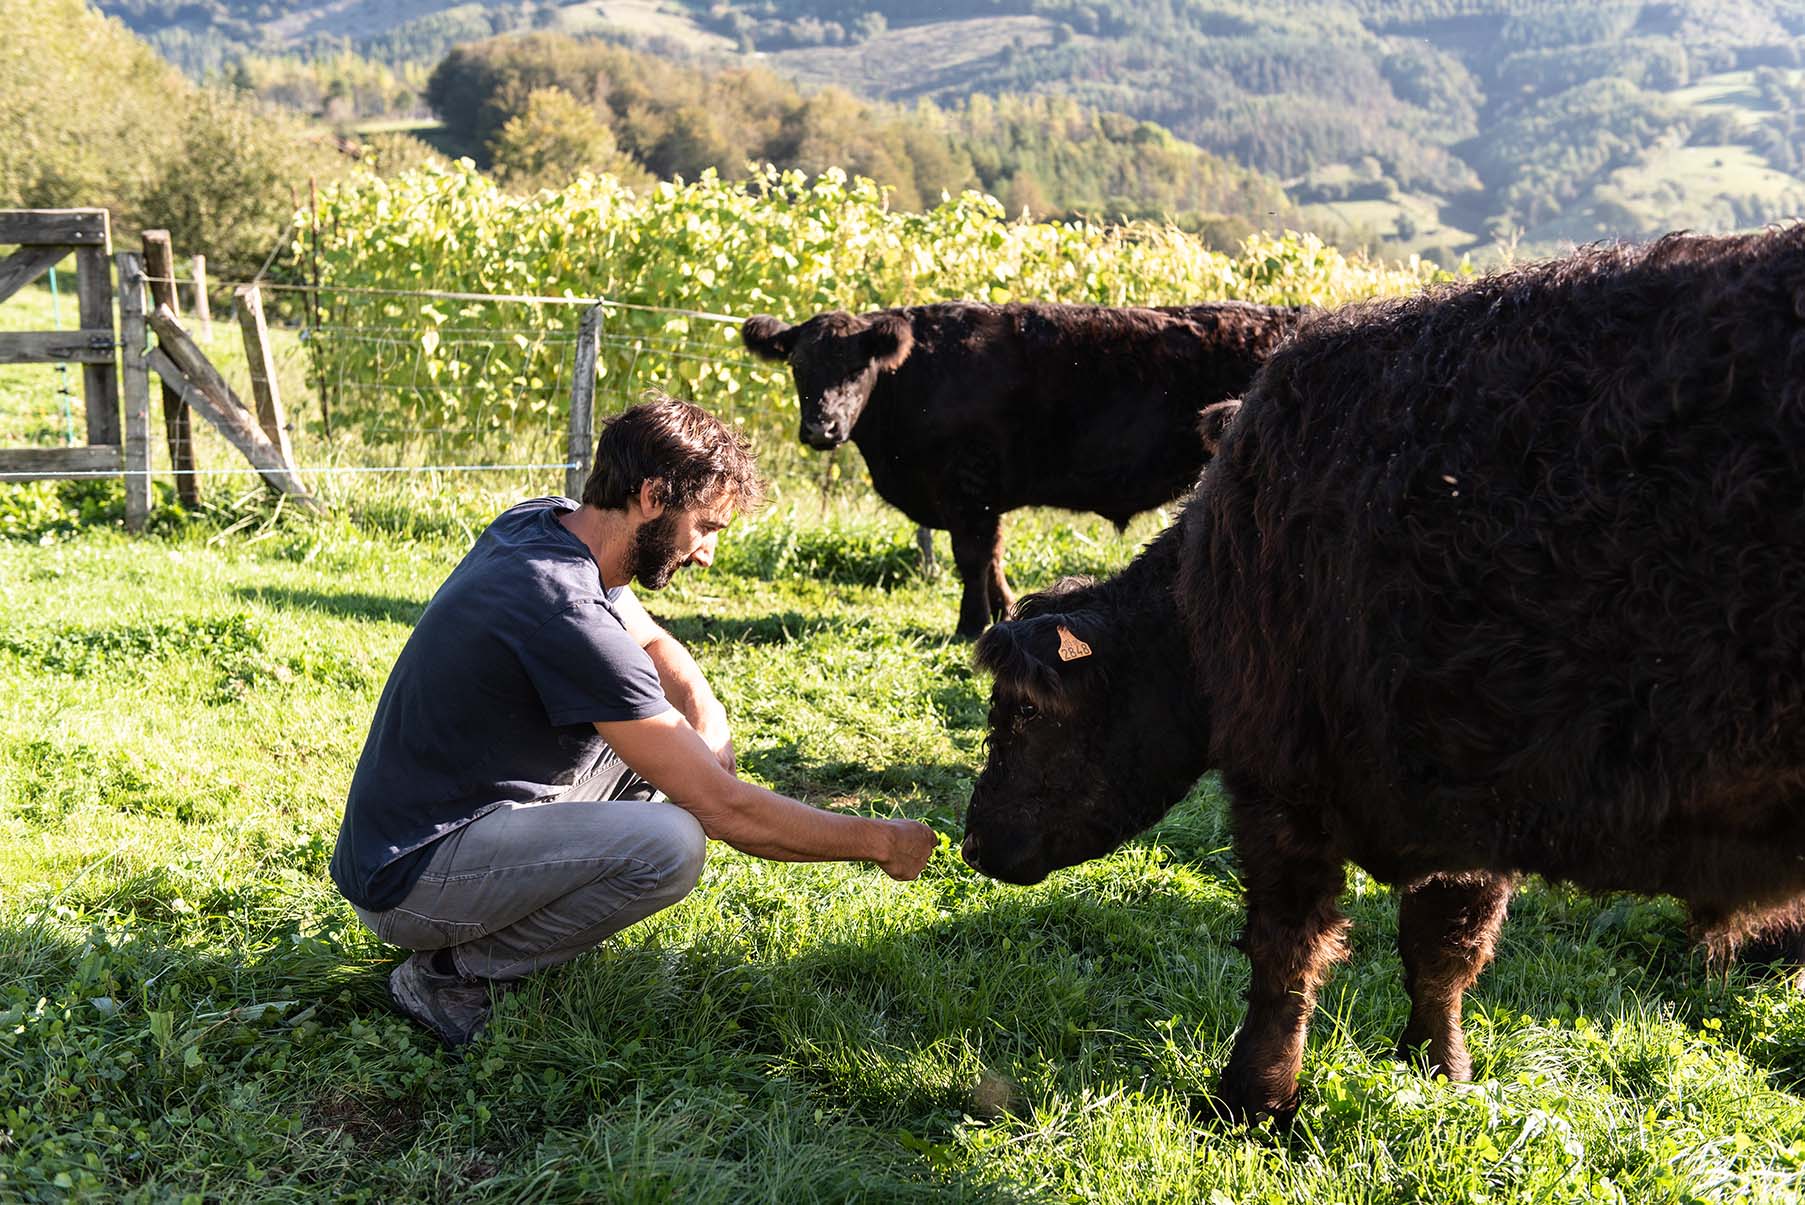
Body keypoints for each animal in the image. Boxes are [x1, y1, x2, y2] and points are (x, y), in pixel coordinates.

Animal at [740, 299, 1306, 638]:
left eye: (857, 368)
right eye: (798, 366)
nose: (821, 427)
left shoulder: (966, 482)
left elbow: (971, 556)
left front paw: (971, 624)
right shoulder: (981, 492)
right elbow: (992, 555)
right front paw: (1003, 611)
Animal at [967, 230, 1805, 1125]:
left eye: (1022, 712)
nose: (973, 838)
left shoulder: (1283, 780)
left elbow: (1285, 951)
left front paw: (1252, 1098)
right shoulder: (1462, 803)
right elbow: (1441, 951)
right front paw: (1439, 1068)